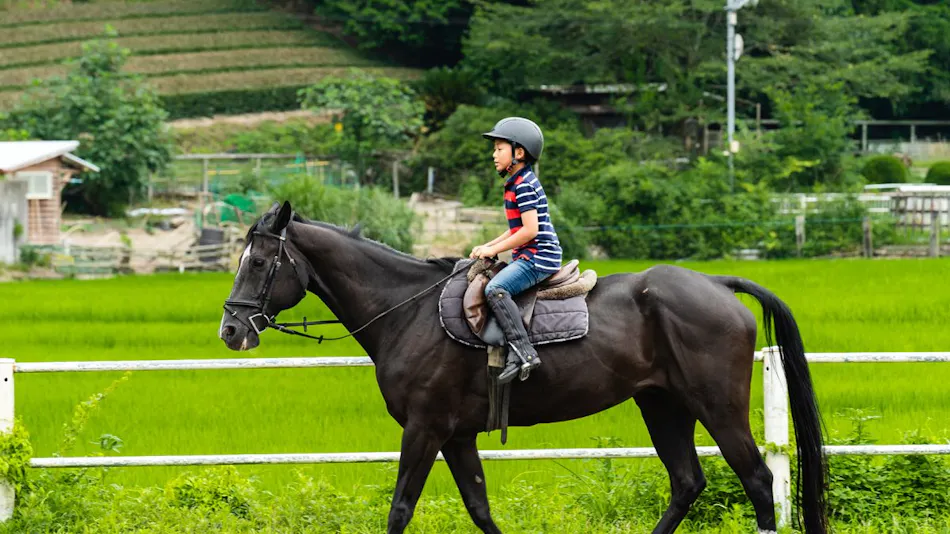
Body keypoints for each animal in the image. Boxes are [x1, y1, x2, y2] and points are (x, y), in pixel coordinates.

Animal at [218, 201, 829, 534]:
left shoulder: (425, 427)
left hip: (716, 406)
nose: (230, 329)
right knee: (686, 482)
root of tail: (718, 284)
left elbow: (400, 509)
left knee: (757, 481)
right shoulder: (457, 435)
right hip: (662, 405)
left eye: (262, 262)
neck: (407, 311)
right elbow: (480, 509)